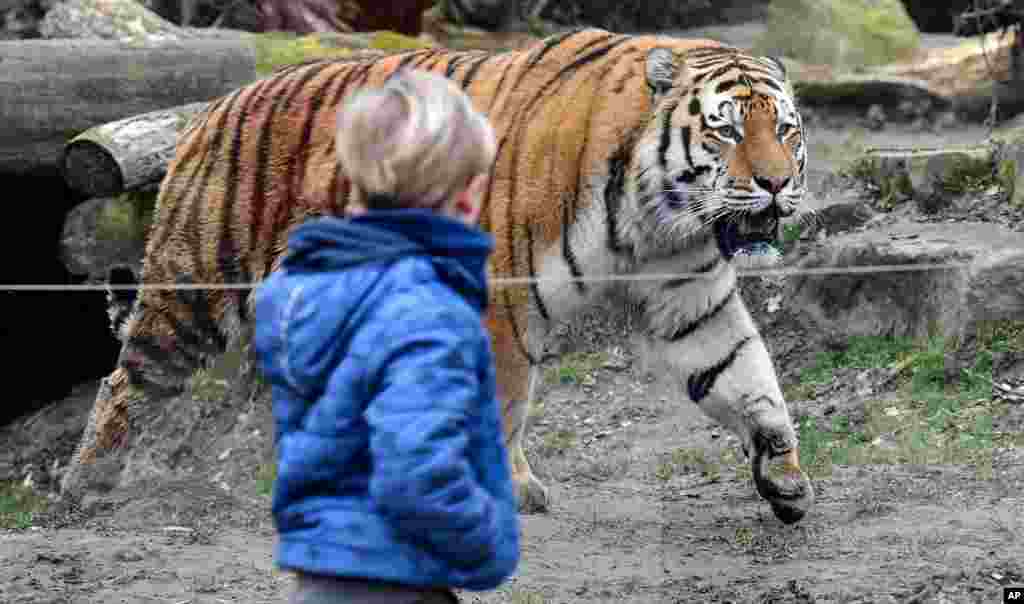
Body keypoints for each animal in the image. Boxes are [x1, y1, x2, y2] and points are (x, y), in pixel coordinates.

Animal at [61, 27, 815, 524]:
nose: (777, 185)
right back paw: (85, 484)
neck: (656, 216)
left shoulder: (689, 296)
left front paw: (784, 474)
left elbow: (746, 376)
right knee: (126, 381)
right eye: (725, 131)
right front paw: (504, 493)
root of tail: (210, 108)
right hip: (195, 289)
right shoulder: (503, 302)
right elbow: (505, 405)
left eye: (785, 129)